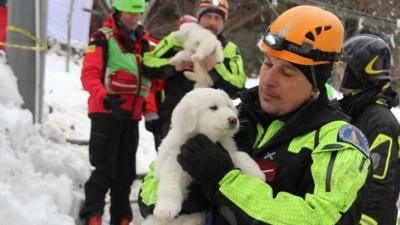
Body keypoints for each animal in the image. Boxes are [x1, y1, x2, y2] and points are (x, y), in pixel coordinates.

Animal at [143, 88, 266, 225]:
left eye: (228, 106)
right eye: (213, 107)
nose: (233, 119)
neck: (210, 139)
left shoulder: (224, 151)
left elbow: (240, 155)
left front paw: (257, 173)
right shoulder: (173, 161)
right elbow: (169, 183)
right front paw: (165, 209)